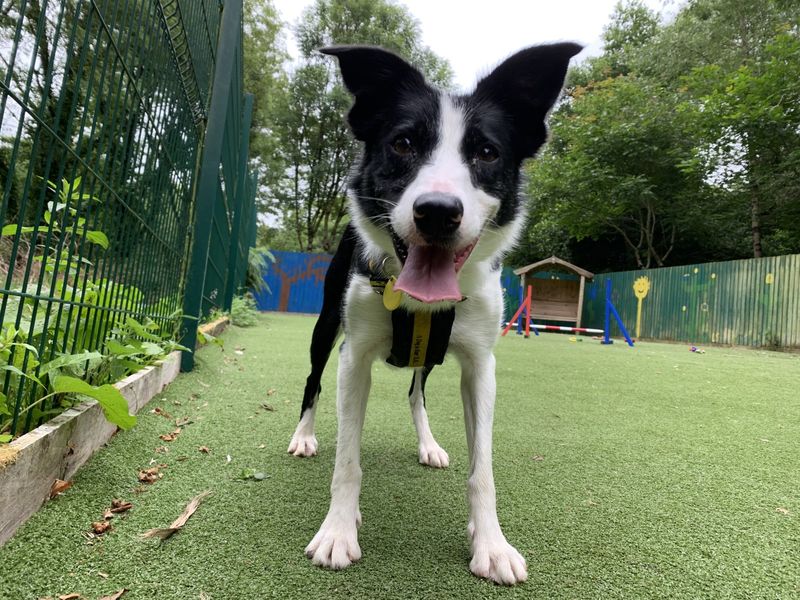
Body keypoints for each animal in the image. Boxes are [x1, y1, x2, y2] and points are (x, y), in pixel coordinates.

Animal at [288, 43, 580, 584]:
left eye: (487, 153)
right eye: (403, 144)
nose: (439, 211)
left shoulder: (481, 367)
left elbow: (483, 469)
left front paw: (491, 544)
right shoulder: (353, 358)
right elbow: (347, 460)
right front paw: (338, 530)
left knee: (415, 391)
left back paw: (428, 444)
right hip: (325, 326)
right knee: (313, 381)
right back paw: (304, 436)